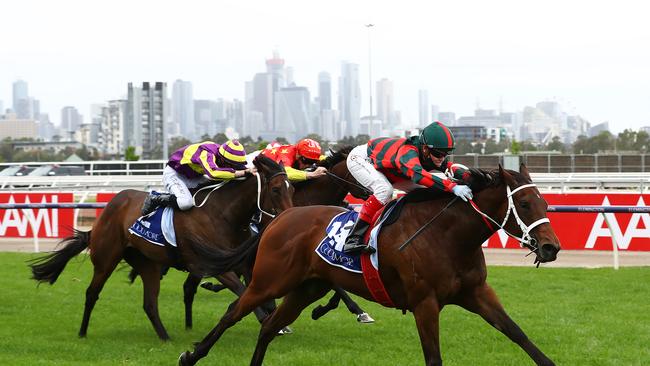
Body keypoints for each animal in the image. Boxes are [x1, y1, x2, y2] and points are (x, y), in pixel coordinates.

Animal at [29, 154, 292, 340]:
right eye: (276, 189)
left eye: (292, 188)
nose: (290, 217)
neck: (222, 214)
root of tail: (108, 209)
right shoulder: (211, 265)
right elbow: (240, 289)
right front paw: (265, 319)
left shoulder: (243, 260)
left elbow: (257, 287)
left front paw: (274, 319)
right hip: (106, 259)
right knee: (92, 293)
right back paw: (83, 333)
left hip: (148, 264)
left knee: (149, 303)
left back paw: (165, 337)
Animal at [180, 166, 560, 366]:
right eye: (524, 204)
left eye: (544, 202)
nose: (551, 247)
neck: (447, 236)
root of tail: (281, 218)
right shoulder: (425, 303)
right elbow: (433, 357)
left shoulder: (476, 292)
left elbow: (517, 333)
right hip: (268, 282)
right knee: (233, 312)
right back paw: (192, 354)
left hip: (307, 288)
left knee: (269, 327)